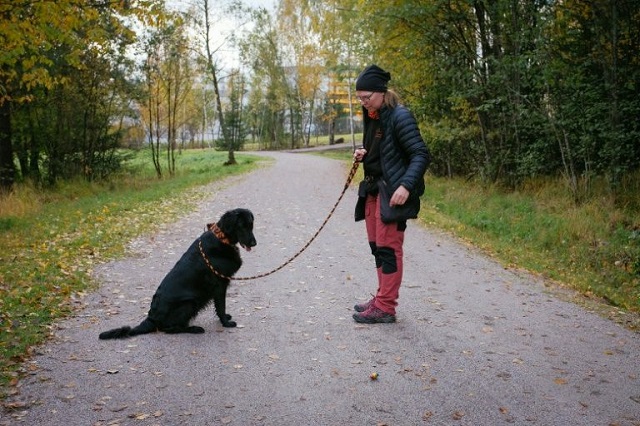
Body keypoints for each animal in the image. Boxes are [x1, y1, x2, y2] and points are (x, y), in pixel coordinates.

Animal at [99, 206, 256, 340]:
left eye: (251, 226)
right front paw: (226, 323)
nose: (254, 243)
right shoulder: (219, 285)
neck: (221, 238)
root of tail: (152, 318)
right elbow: (221, 306)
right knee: (170, 329)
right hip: (189, 303)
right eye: (242, 226)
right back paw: (194, 329)